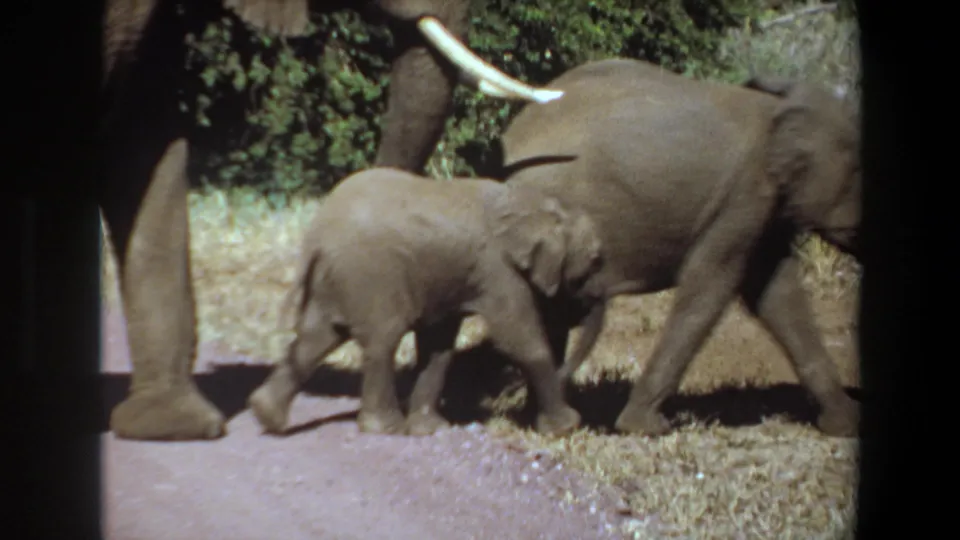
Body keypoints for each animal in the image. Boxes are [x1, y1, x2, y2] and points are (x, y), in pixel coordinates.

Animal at [246, 167, 606, 437]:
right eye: (594, 261)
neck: (536, 202)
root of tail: (316, 236)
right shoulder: (497, 269)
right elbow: (519, 339)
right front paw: (565, 428)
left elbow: (439, 345)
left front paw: (430, 429)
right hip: (371, 274)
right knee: (381, 340)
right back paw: (384, 429)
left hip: (334, 279)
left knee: (316, 338)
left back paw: (266, 415)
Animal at [496, 58, 862, 438]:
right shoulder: (744, 196)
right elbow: (710, 284)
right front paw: (643, 427)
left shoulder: (766, 209)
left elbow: (776, 293)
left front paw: (844, 425)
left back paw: (544, 418)